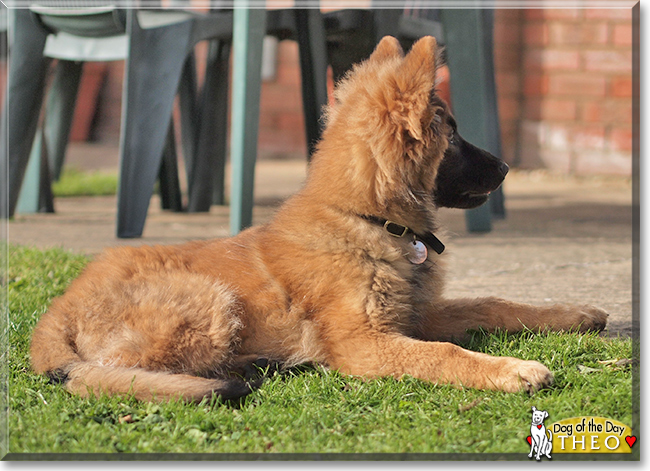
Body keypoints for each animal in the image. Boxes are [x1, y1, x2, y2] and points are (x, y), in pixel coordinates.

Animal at [31, 37, 608, 402]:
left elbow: (493, 302)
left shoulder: (415, 317)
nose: (507, 168)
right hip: (209, 300)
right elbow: (446, 354)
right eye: (454, 134)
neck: (369, 220)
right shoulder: (366, 344)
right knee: (109, 372)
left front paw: (573, 314)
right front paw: (513, 370)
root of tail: (58, 310)